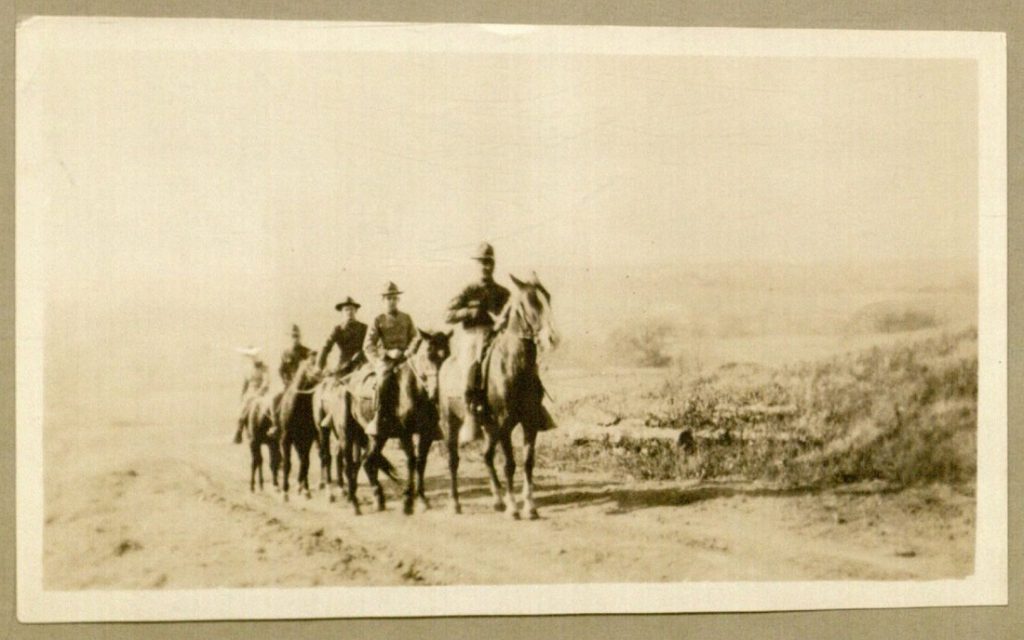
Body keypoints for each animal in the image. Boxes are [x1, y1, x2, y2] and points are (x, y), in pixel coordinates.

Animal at [436, 272, 557, 520]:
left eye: (547, 297)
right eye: (530, 302)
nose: (551, 339)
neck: (514, 367)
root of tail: (447, 363)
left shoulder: (529, 422)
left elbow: (528, 462)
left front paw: (530, 506)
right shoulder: (504, 424)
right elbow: (509, 464)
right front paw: (514, 507)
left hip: (489, 427)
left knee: (486, 456)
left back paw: (497, 500)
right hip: (451, 422)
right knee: (454, 460)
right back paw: (455, 503)